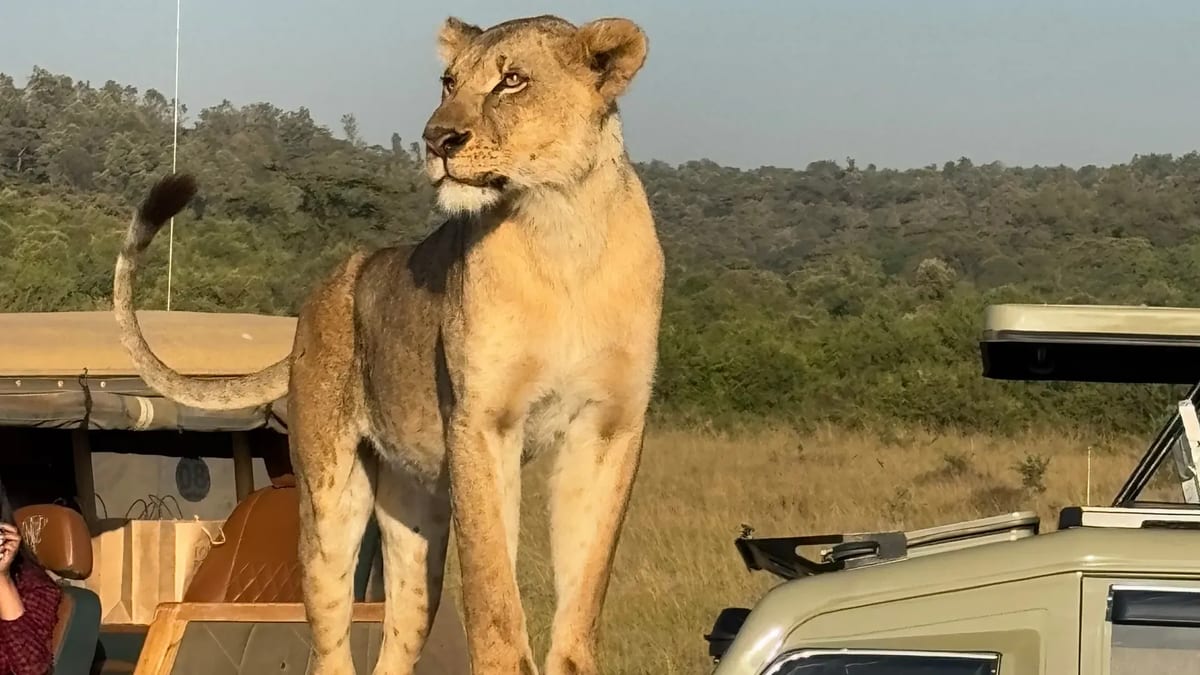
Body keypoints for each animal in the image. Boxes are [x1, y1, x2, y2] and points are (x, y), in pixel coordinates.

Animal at [111, 14, 662, 675]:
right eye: (448, 81)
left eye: (512, 81)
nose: (436, 139)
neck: (563, 228)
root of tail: (312, 306)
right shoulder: (483, 422)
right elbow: (494, 594)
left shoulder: (609, 426)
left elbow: (582, 595)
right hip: (330, 499)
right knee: (330, 643)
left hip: (415, 520)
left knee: (397, 637)